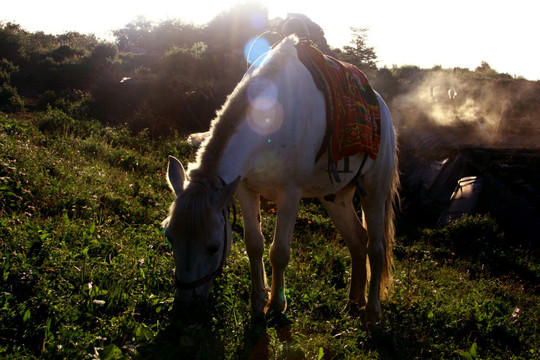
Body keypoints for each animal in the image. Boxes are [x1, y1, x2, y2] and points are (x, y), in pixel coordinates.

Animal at [162, 35, 398, 324]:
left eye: (213, 247)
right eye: (170, 237)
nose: (185, 310)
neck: (270, 120)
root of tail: (384, 111)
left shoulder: (290, 194)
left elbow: (280, 252)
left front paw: (276, 305)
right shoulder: (245, 189)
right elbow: (254, 245)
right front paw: (257, 304)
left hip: (375, 192)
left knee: (376, 249)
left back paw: (372, 311)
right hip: (335, 198)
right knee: (357, 240)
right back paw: (354, 301)